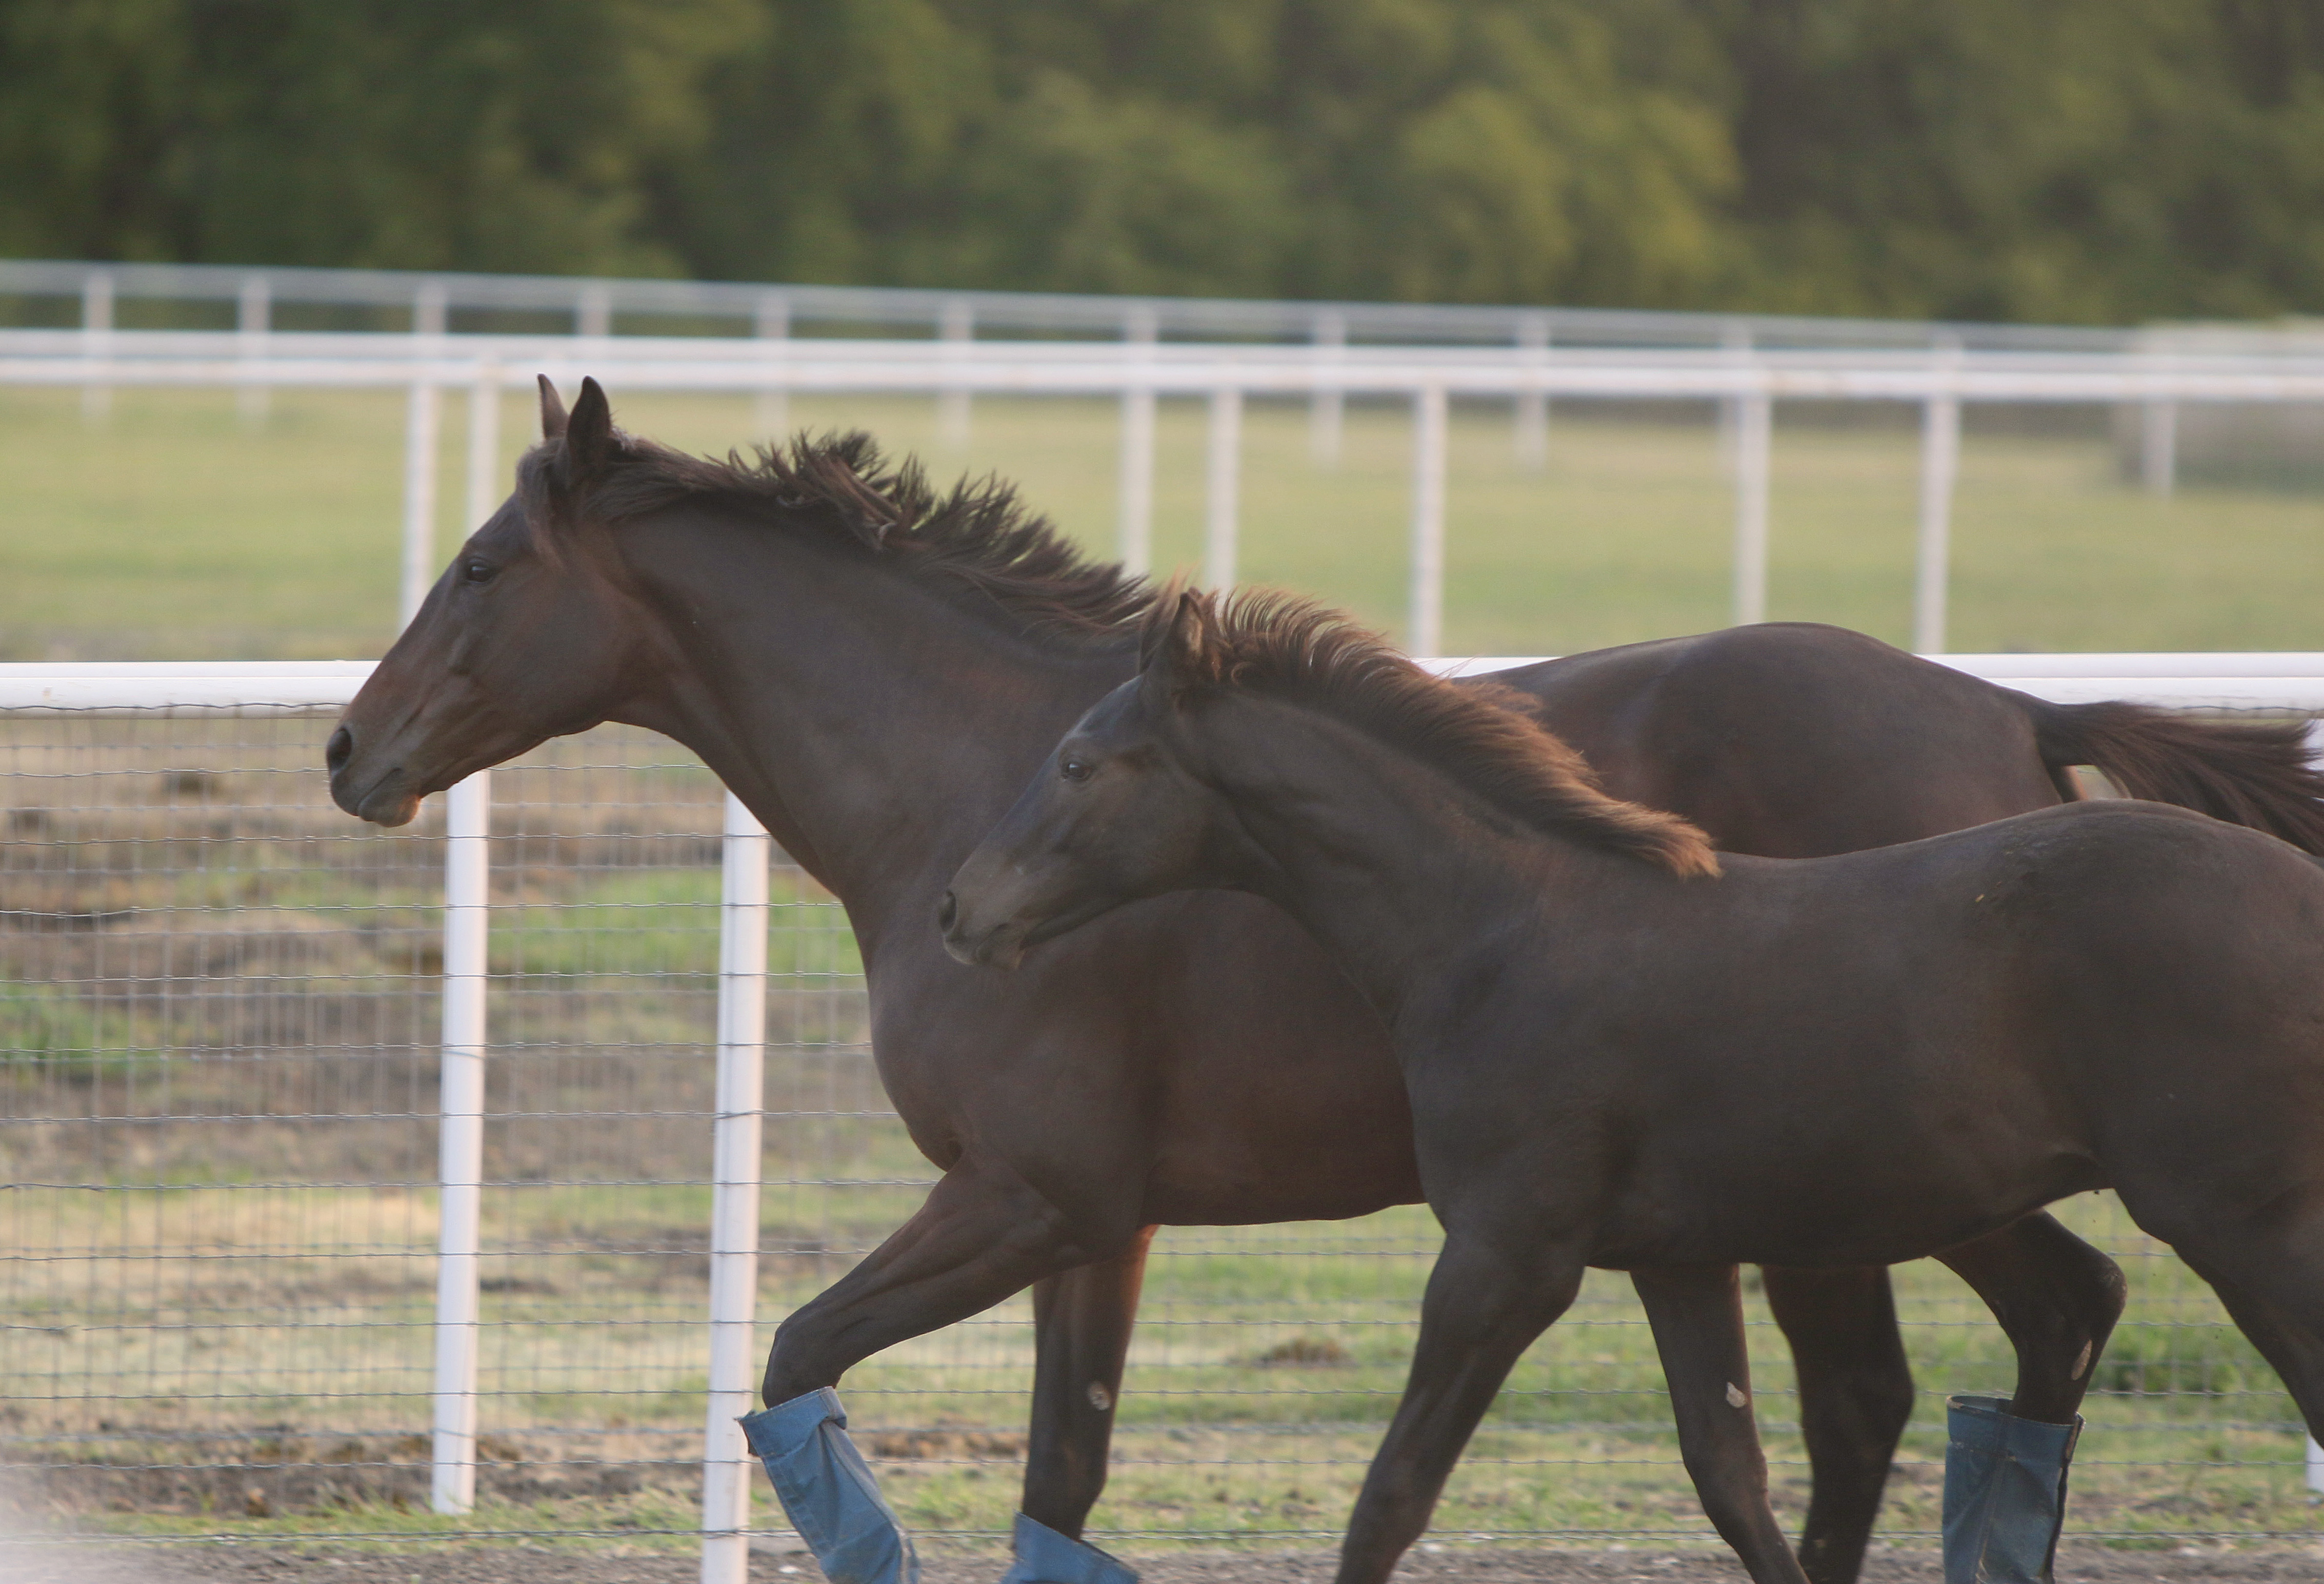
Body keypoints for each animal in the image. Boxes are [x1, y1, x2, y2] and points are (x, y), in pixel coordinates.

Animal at [934, 590, 2324, 1579]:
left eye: (1076, 762)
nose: (960, 909)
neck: (1500, 930)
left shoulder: (1505, 1257)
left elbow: (1389, 1498)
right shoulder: (1674, 1257)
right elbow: (1732, 1480)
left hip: (2237, 1218)